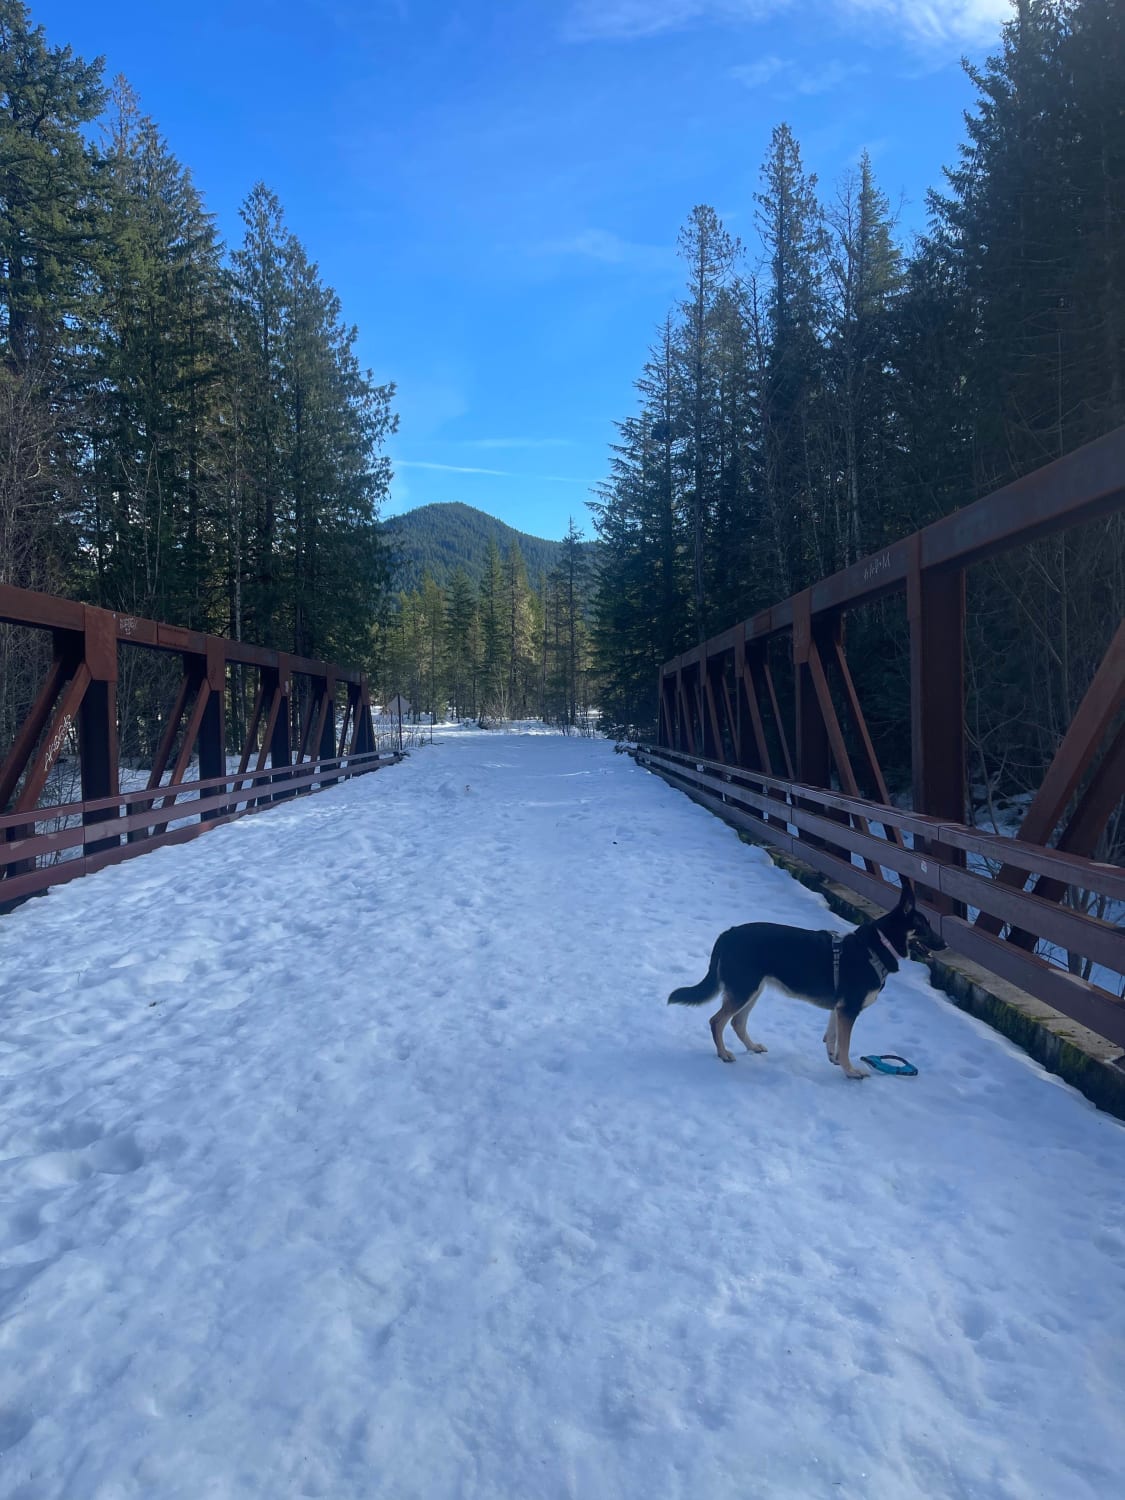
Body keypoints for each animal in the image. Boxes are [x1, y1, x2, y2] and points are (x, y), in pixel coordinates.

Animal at [666, 882, 948, 1086]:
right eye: (924, 926)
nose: (946, 945)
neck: (877, 946)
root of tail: (728, 933)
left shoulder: (839, 1009)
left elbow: (832, 1037)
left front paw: (835, 1059)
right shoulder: (849, 1010)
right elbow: (846, 1044)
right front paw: (850, 1071)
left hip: (753, 989)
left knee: (736, 1022)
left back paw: (752, 1047)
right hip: (744, 990)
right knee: (717, 1021)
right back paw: (724, 1054)